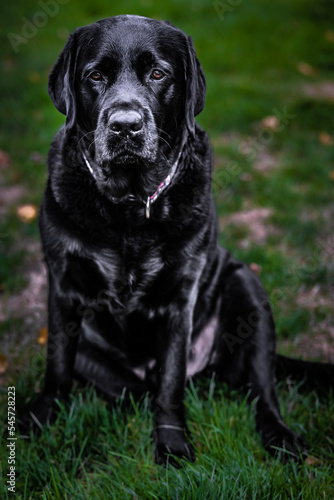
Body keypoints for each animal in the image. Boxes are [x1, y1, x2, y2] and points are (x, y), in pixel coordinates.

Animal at [21, 15, 334, 466]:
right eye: (95, 76)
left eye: (158, 74)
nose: (125, 126)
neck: (130, 208)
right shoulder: (62, 286)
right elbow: (57, 366)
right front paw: (41, 418)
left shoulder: (180, 298)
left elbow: (170, 382)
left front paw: (171, 446)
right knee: (133, 389)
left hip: (247, 287)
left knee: (261, 389)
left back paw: (280, 435)